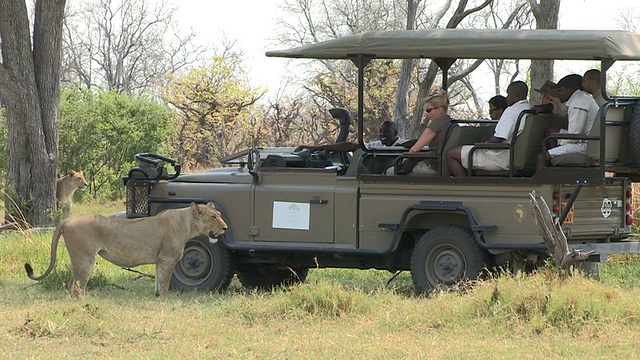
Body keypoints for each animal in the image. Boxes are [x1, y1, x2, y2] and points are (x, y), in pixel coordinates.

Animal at [26, 201, 229, 296]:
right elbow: (165, 283)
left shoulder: (160, 259)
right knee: (77, 287)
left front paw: (157, 297)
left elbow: (158, 281)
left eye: (219, 214)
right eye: (213, 217)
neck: (188, 223)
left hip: (76, 260)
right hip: (85, 259)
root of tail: (67, 220)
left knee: (70, 286)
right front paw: (164, 301)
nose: (226, 227)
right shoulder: (168, 257)